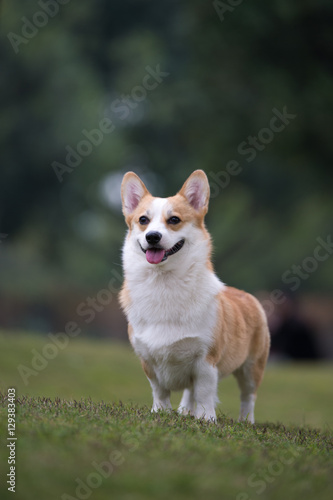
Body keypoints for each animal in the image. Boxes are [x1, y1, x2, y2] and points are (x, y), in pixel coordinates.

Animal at [120, 170, 270, 420]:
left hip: (252, 368)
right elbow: (159, 391)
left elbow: (205, 393)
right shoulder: (148, 361)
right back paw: (183, 411)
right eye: (143, 220)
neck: (164, 282)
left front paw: (206, 419)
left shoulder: (205, 360)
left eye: (174, 220)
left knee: (248, 397)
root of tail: (247, 296)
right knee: (189, 391)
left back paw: (245, 421)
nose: (152, 236)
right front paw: (161, 412)